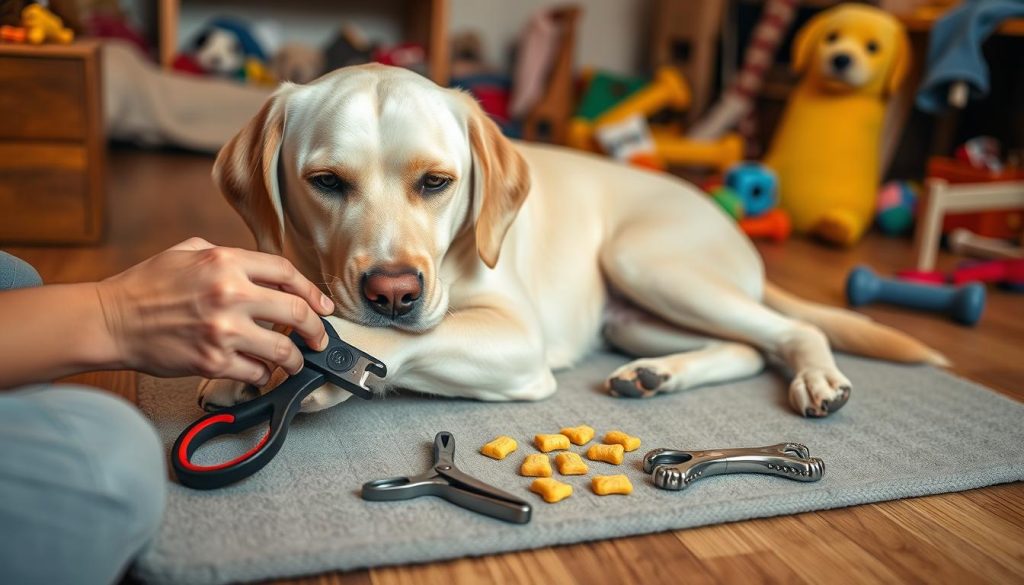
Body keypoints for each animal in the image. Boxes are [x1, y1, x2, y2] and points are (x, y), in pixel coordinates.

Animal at [199, 65, 942, 415]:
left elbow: (385, 341)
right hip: (634, 318)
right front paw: (241, 364)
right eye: (326, 181)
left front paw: (307, 367)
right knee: (750, 347)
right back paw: (655, 374)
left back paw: (820, 378)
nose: (393, 293)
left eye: (437, 183)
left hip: (644, 261)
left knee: (790, 332)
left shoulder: (516, 337)